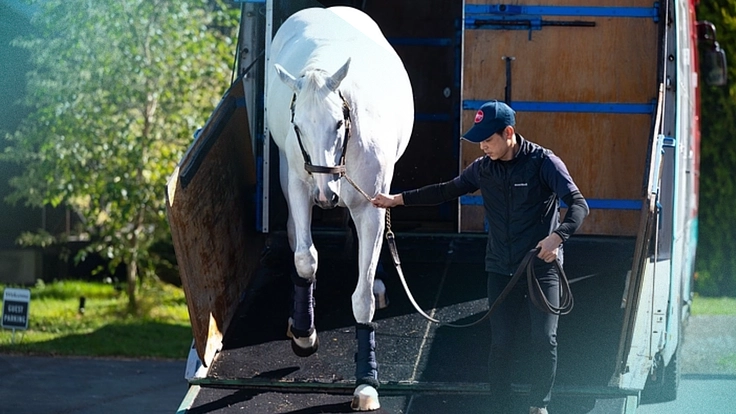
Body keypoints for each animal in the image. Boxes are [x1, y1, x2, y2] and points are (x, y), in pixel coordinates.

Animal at [265, 6, 413, 411]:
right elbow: (306, 259)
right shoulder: (300, 186)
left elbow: (361, 300)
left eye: (337, 122)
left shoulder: (371, 205)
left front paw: (366, 382)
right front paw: (304, 333)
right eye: (298, 124)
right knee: (294, 235)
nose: (326, 194)